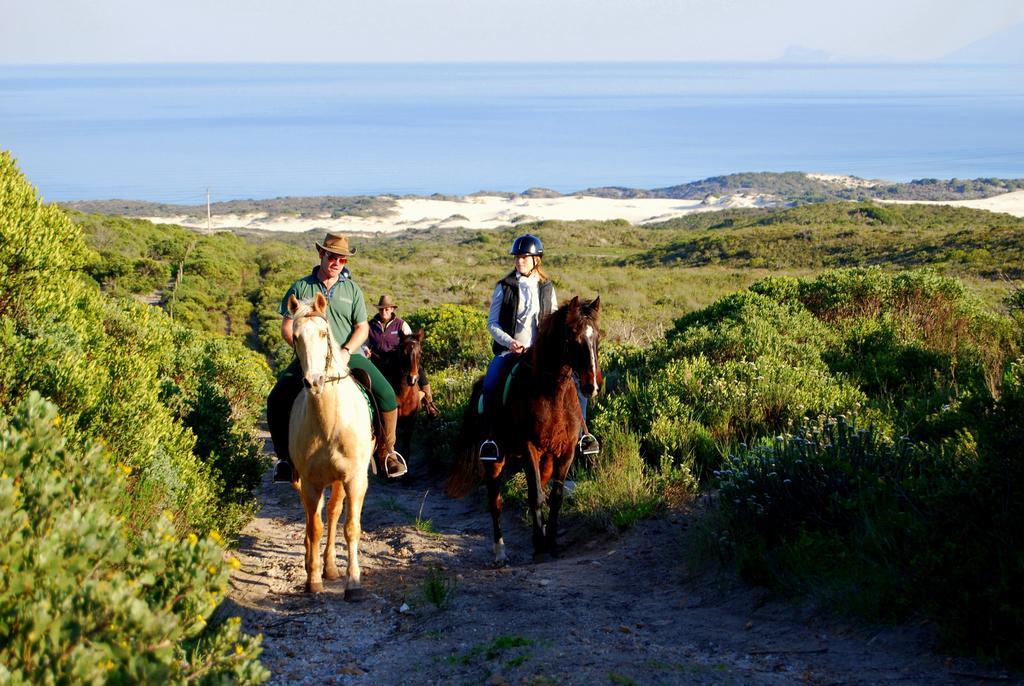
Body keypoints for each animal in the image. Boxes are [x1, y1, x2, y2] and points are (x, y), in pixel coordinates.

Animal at [286, 292, 374, 597]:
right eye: (296, 336)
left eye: (324, 333)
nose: (314, 381)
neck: (329, 421)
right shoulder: (310, 481)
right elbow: (315, 526)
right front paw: (313, 580)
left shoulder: (355, 478)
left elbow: (351, 526)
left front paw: (353, 582)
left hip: (339, 480)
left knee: (335, 512)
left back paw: (332, 566)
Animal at [446, 298, 598, 565]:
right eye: (573, 336)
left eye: (597, 337)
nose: (592, 386)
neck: (552, 394)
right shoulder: (530, 449)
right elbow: (535, 495)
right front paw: (539, 547)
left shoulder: (566, 452)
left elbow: (555, 497)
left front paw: (551, 543)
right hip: (494, 459)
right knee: (495, 502)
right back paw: (500, 553)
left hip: (546, 460)